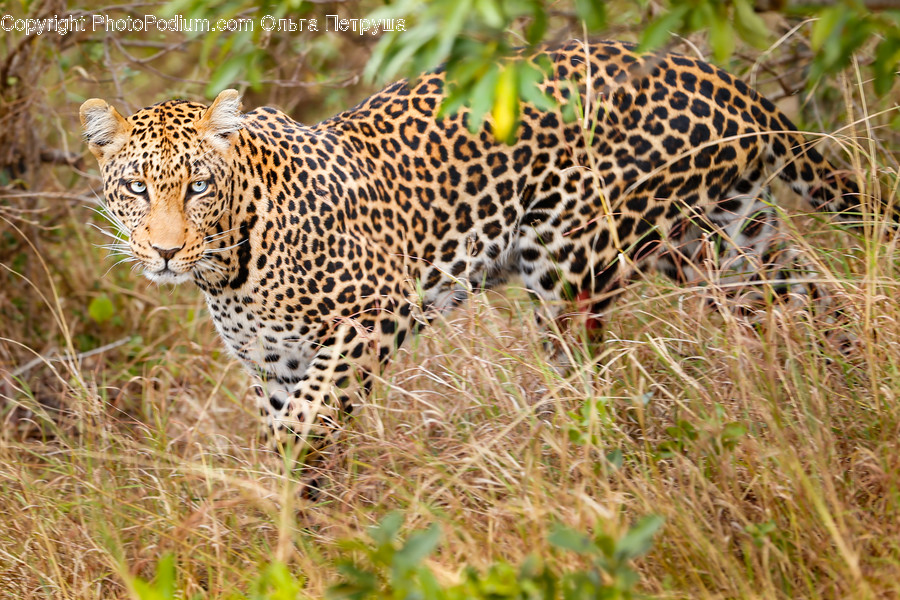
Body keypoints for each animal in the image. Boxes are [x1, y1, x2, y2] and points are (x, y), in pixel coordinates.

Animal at [80, 39, 862, 457]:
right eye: (137, 188)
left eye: (199, 187)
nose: (165, 253)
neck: (230, 264)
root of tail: (710, 74)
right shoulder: (272, 366)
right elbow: (296, 443)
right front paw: (297, 533)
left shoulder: (374, 313)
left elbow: (308, 423)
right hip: (724, 244)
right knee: (819, 301)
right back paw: (846, 393)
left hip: (574, 264)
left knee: (583, 383)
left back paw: (567, 463)